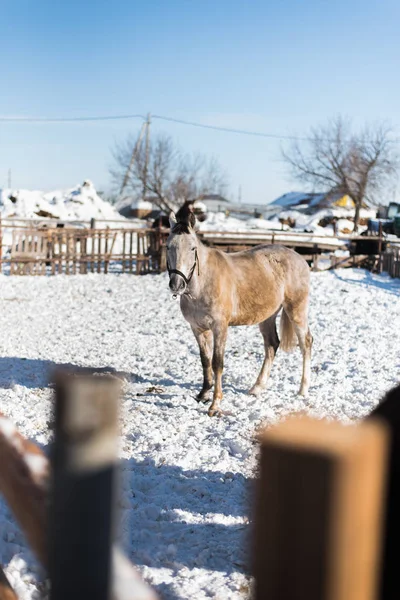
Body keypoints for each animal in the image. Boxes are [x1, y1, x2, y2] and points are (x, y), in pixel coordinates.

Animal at [166, 206, 312, 418]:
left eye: (192, 248)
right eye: (168, 247)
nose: (177, 285)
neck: (203, 283)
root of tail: (299, 258)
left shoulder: (220, 327)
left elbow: (217, 363)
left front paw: (215, 404)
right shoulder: (197, 328)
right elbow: (205, 360)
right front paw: (203, 394)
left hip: (296, 310)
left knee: (306, 343)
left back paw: (302, 389)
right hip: (267, 316)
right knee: (271, 345)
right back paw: (257, 388)